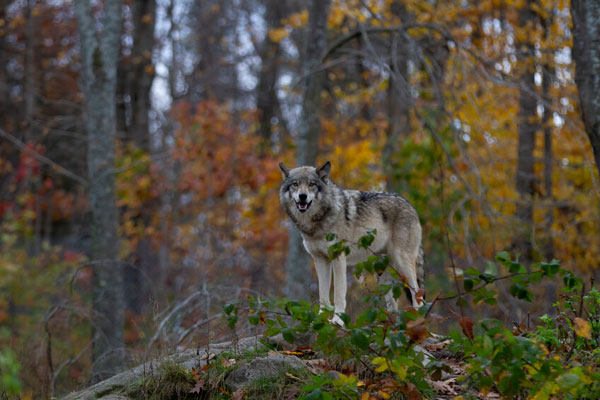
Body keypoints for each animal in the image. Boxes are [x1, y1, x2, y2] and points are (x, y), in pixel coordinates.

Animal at [278, 161, 424, 324]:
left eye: (311, 184)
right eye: (295, 184)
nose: (302, 196)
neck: (318, 221)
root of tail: (411, 206)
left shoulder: (338, 257)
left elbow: (338, 294)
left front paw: (337, 320)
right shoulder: (320, 259)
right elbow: (323, 295)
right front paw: (320, 319)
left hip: (402, 263)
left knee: (417, 293)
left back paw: (419, 319)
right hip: (380, 270)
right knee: (393, 304)